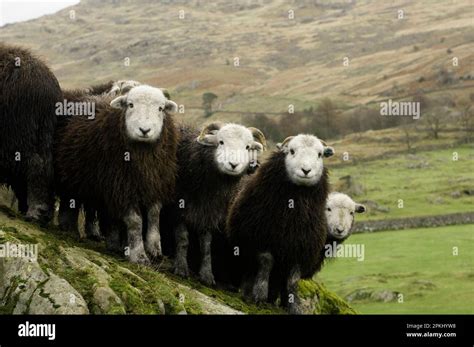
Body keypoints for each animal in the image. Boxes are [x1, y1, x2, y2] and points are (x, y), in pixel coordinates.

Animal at [53, 85, 179, 266]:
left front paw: (155, 250)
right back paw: (69, 229)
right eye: (130, 105)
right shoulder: (122, 186)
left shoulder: (155, 184)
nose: (145, 130)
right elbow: (135, 221)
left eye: (160, 108)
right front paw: (139, 255)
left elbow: (154, 216)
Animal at [227, 135, 336, 314]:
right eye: (291, 151)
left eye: (319, 154)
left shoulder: (300, 249)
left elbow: (293, 279)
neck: (293, 213)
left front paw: (293, 305)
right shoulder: (261, 238)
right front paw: (259, 296)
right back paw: (248, 294)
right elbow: (266, 263)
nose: (306, 170)